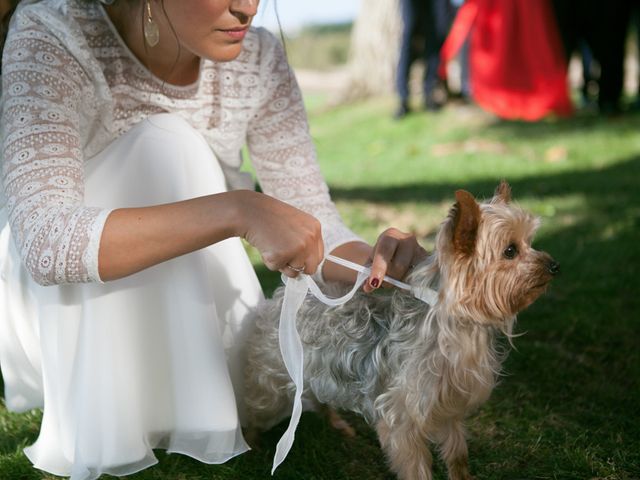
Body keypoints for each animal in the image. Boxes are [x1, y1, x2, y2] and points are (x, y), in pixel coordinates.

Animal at [245, 182, 560, 478]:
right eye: (510, 251)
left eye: (530, 242)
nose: (554, 265)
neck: (453, 324)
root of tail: (281, 298)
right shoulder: (402, 420)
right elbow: (416, 468)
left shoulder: (449, 406)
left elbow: (457, 455)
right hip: (274, 381)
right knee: (258, 407)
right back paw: (250, 444)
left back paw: (338, 425)